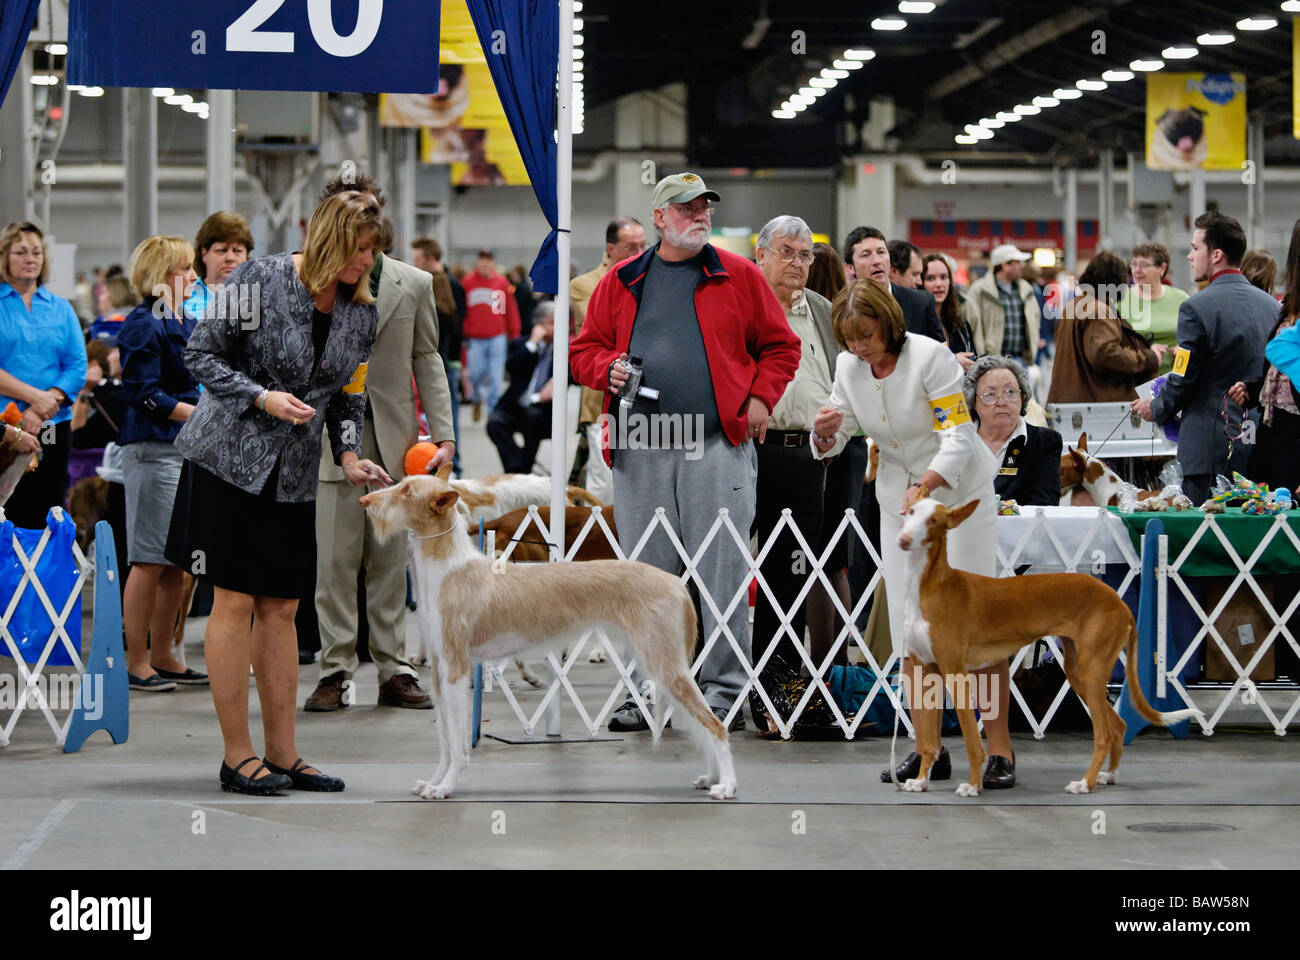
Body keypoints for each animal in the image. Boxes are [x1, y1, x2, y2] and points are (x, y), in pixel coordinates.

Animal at [361, 473, 738, 801]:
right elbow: (443, 739)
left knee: (716, 725)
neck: (450, 568)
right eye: (401, 484)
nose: (365, 500)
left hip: (666, 665)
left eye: (407, 492)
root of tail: (676, 583)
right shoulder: (440, 672)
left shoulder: (455, 670)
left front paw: (447, 785)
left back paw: (727, 785)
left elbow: (456, 742)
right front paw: (435, 781)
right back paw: (712, 778)